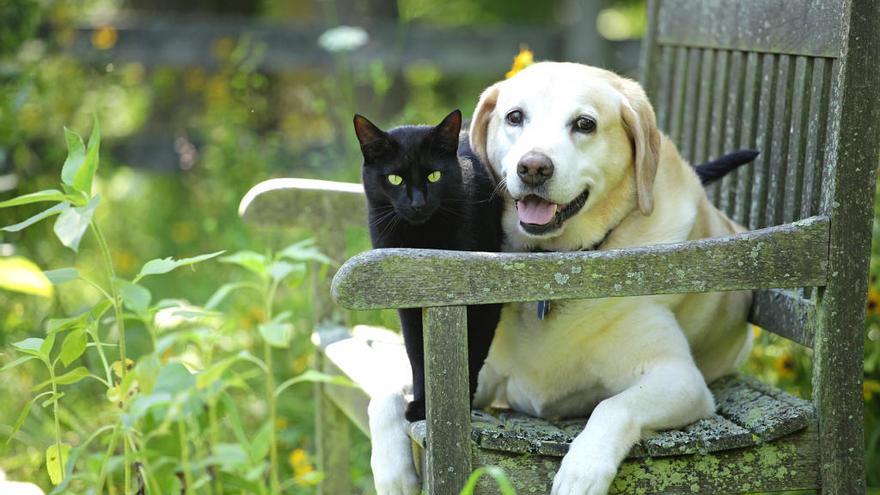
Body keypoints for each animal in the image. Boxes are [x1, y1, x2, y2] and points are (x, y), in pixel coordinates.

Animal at [352, 109, 502, 422]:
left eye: (434, 176)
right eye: (394, 178)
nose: (418, 203)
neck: (422, 240)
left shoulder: (484, 299)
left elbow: (471, 351)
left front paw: (455, 405)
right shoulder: (408, 303)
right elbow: (418, 354)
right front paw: (422, 405)